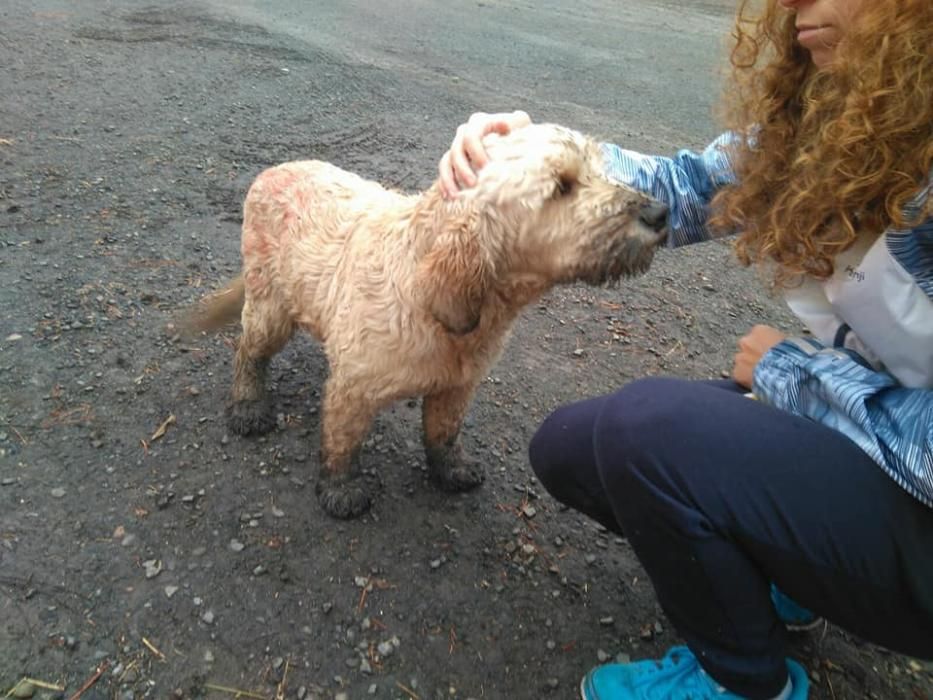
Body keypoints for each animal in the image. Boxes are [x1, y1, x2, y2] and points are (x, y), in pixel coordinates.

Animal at [184, 120, 664, 516]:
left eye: (603, 169)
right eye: (561, 186)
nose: (659, 213)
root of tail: (275, 170)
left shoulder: (456, 387)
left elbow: (442, 434)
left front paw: (450, 470)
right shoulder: (352, 389)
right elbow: (342, 439)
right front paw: (341, 488)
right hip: (271, 309)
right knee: (249, 351)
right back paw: (248, 405)